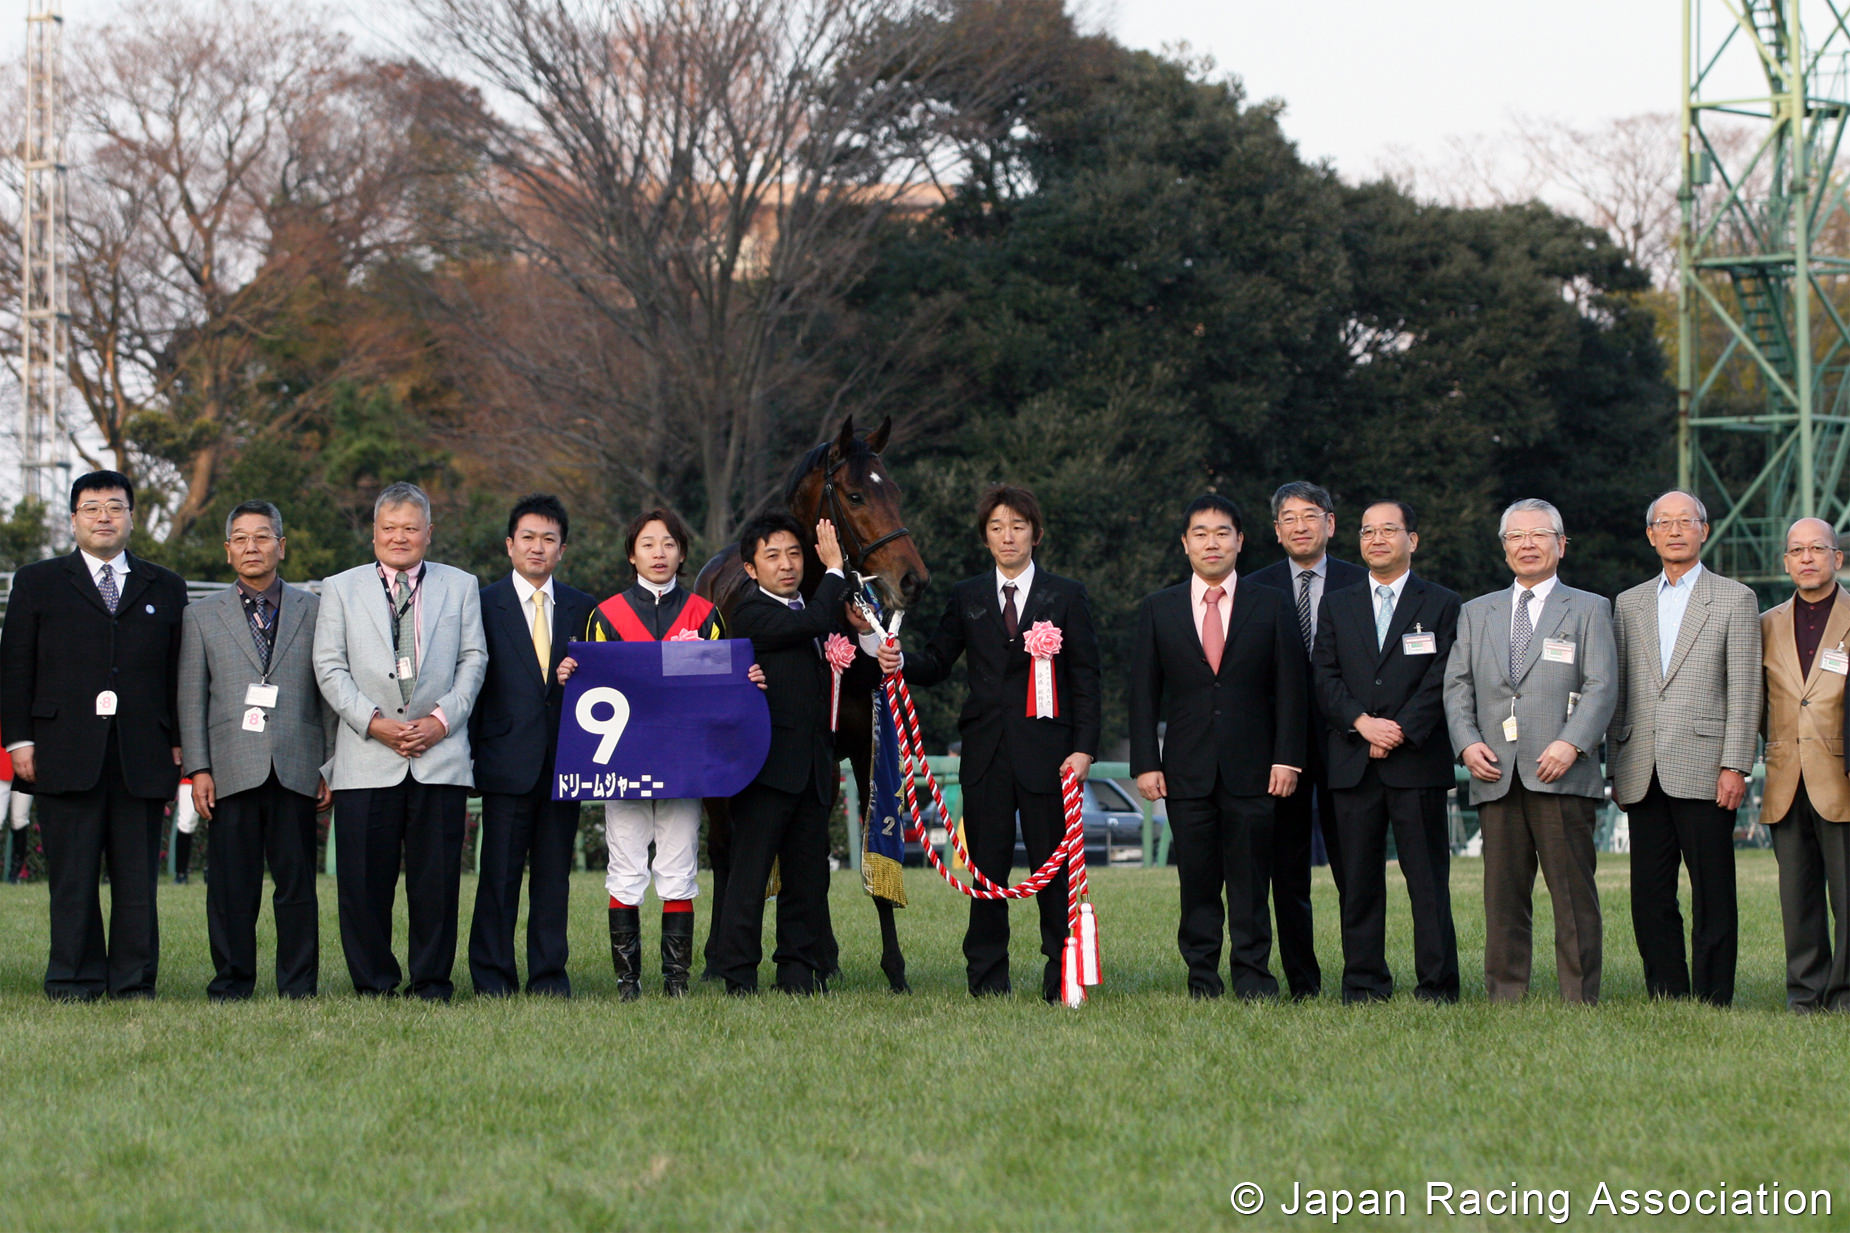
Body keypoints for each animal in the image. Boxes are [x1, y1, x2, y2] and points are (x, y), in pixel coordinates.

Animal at [695, 412, 925, 992]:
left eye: (894, 490)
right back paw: (714, 959)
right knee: (727, 853)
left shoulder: (854, 754)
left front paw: (892, 971)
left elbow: (842, 863)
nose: (913, 579)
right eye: (855, 495)